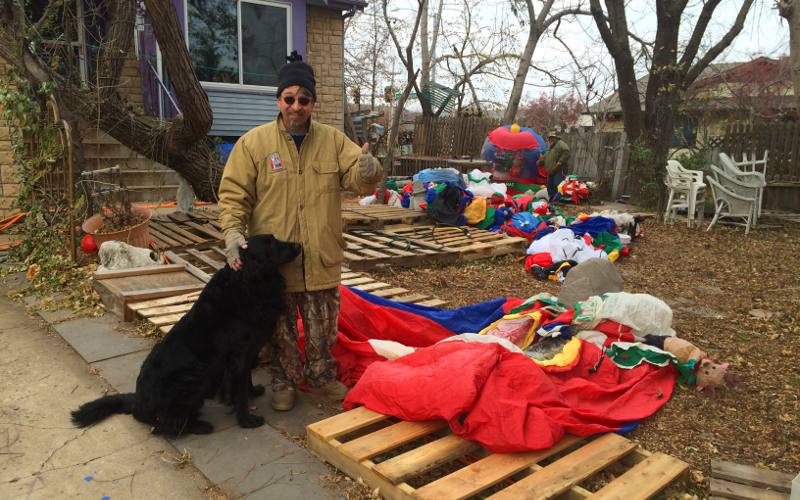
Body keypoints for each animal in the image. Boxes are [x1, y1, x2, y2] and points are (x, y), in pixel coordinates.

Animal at [71, 234, 300, 434]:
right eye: (271, 243)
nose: (299, 245)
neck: (246, 283)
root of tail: (139, 402)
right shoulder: (238, 356)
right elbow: (239, 390)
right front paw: (247, 420)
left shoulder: (249, 351)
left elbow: (246, 381)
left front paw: (253, 392)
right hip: (193, 378)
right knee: (165, 425)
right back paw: (199, 427)